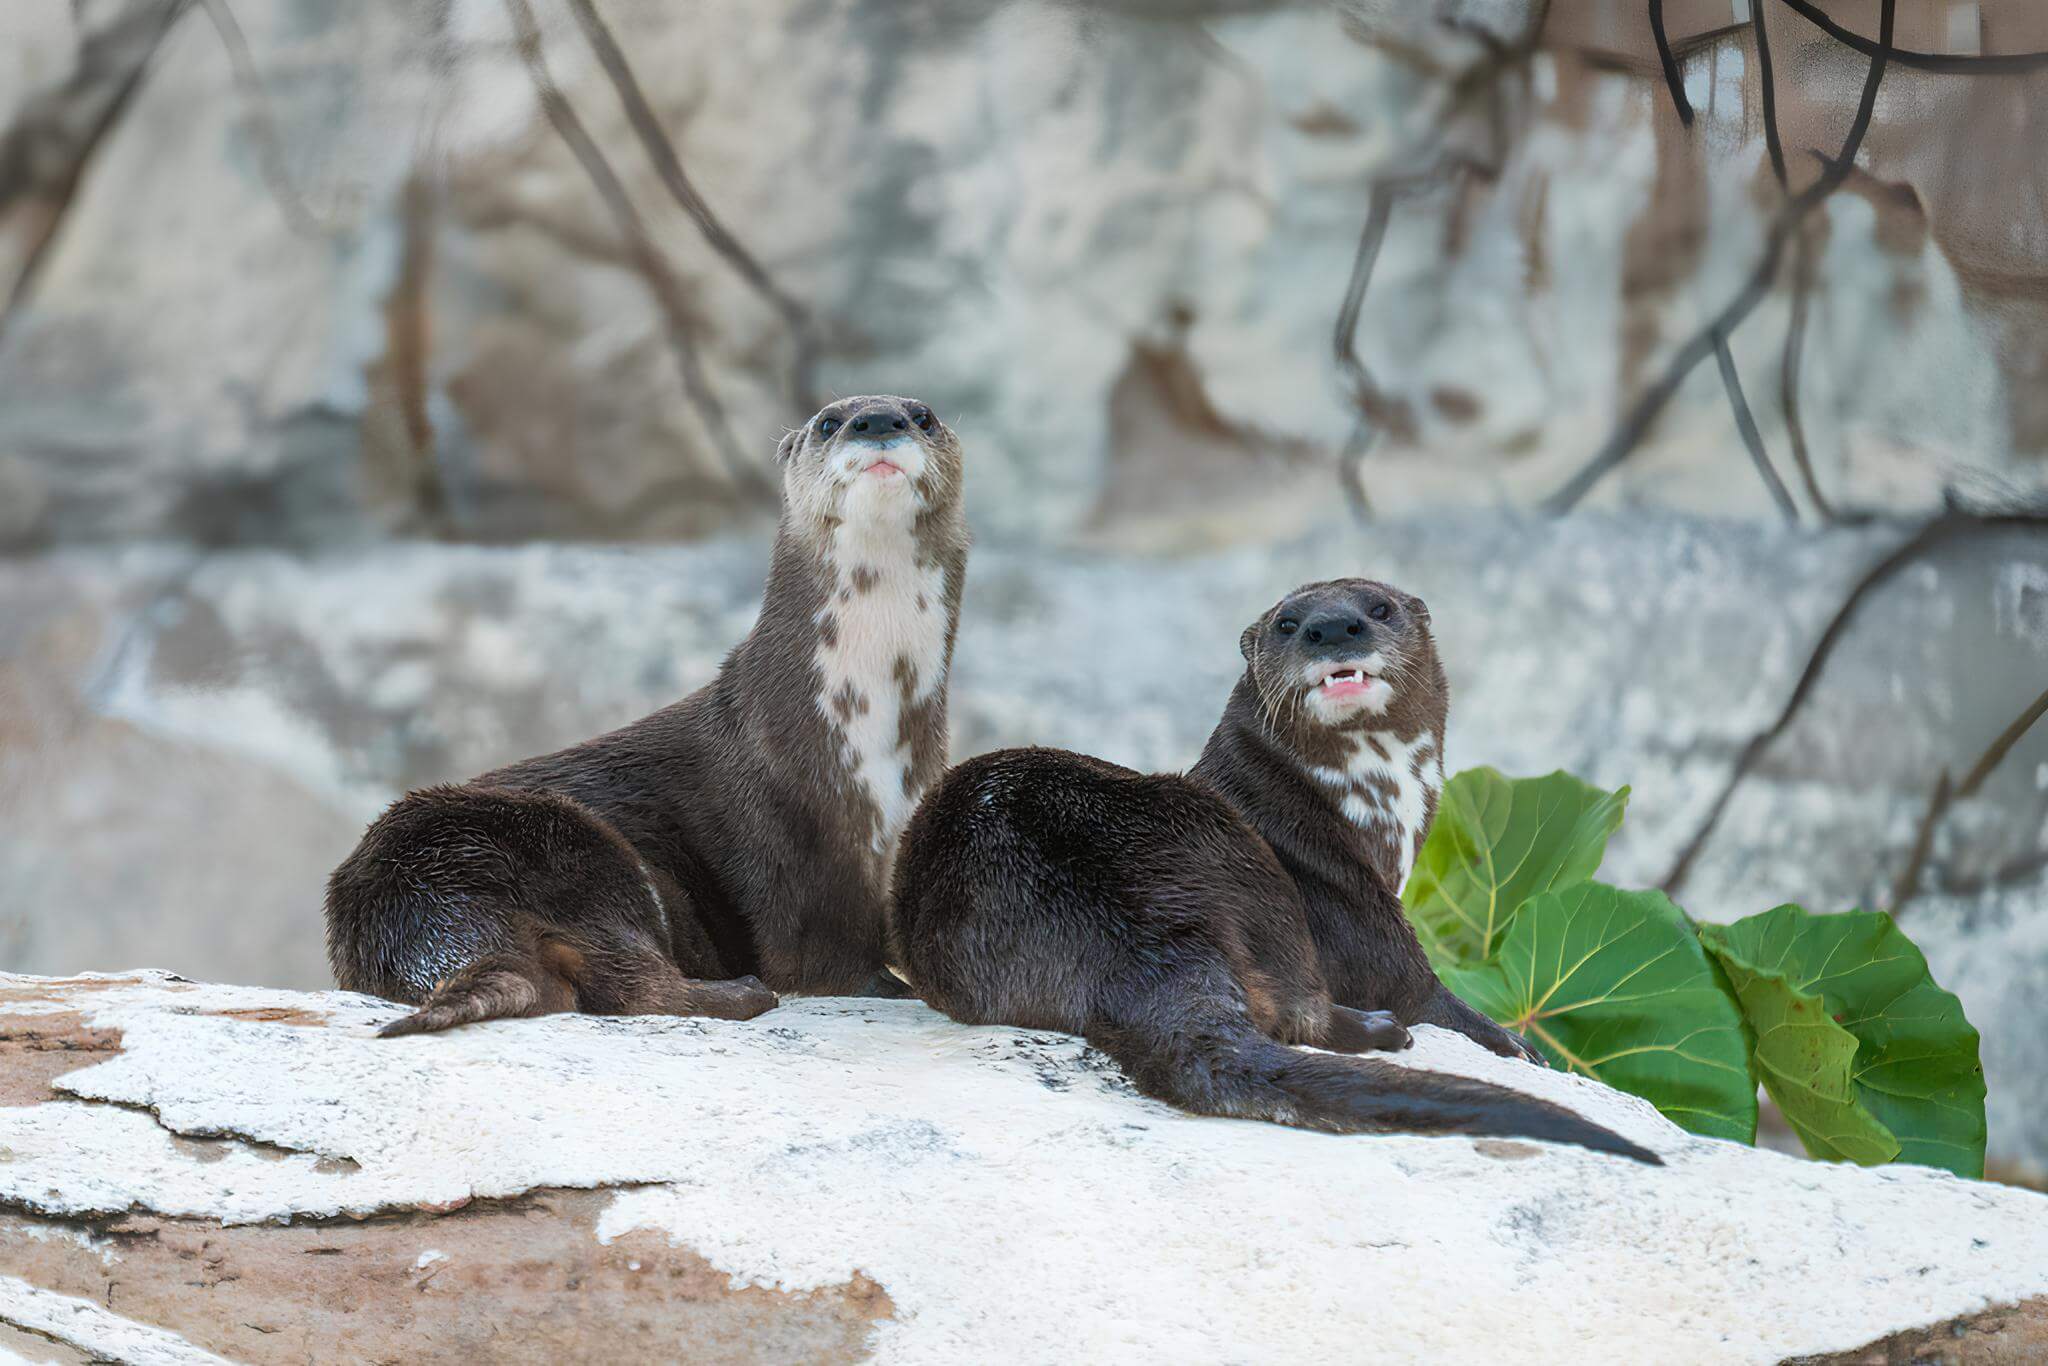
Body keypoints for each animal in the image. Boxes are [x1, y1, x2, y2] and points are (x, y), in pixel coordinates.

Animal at [327, 395, 968, 1035]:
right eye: (829, 422)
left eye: (923, 416)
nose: (878, 421)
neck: (864, 726)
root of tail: (414, 912)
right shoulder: (789, 826)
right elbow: (819, 953)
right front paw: (885, 985)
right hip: (564, 846)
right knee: (636, 981)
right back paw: (742, 991)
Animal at [889, 579, 1657, 1162]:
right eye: (1289, 623)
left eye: (1379, 607)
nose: (1333, 628)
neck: (1379, 818)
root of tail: (1126, 936)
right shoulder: (1358, 908)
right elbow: (1422, 988)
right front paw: (1514, 1044)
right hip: (1232, 858)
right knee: (1308, 1010)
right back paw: (1382, 1032)